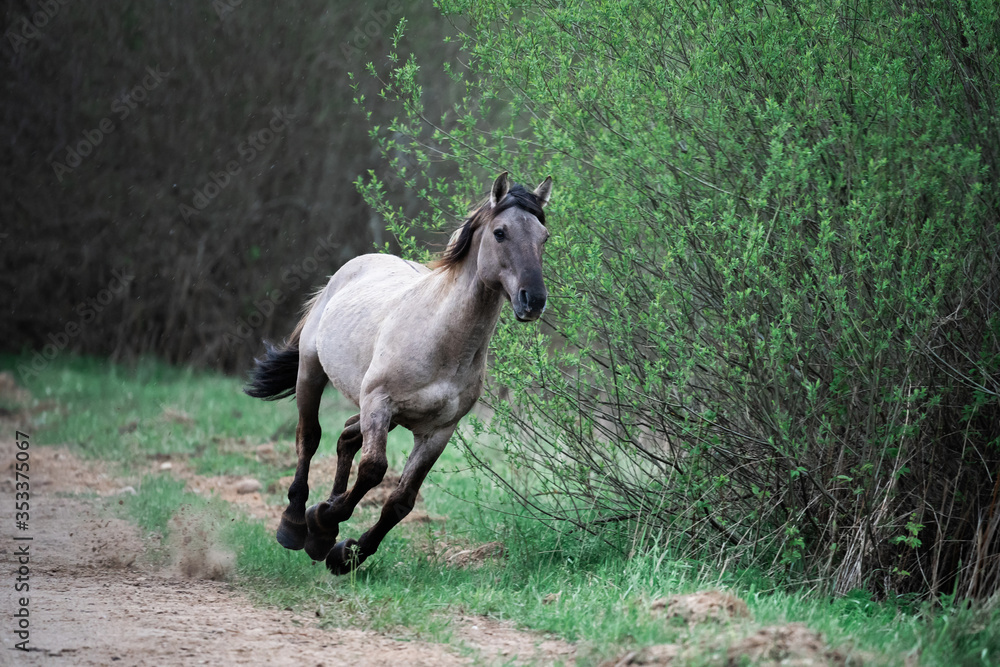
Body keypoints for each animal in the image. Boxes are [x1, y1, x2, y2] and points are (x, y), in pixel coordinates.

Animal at [245, 172, 552, 574]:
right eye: (500, 233)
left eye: (544, 236)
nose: (534, 300)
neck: (442, 340)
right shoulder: (379, 403)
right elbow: (373, 470)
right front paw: (324, 522)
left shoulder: (438, 431)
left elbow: (401, 500)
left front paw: (345, 552)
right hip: (313, 373)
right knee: (309, 438)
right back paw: (296, 524)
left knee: (346, 438)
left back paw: (322, 528)